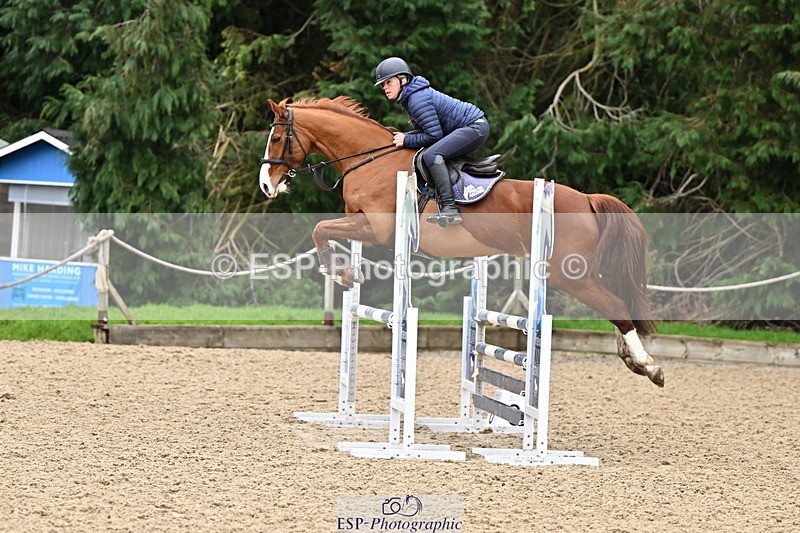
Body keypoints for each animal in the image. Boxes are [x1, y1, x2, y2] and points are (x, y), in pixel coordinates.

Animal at [259, 96, 664, 387]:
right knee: (616, 302)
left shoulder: (376, 228)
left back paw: (649, 366)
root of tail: (587, 199)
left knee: (615, 305)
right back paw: (631, 359)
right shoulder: (363, 223)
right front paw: (347, 273)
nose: (266, 185)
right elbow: (324, 229)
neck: (371, 160)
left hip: (568, 273)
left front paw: (342, 274)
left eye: (277, 138)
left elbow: (321, 229)